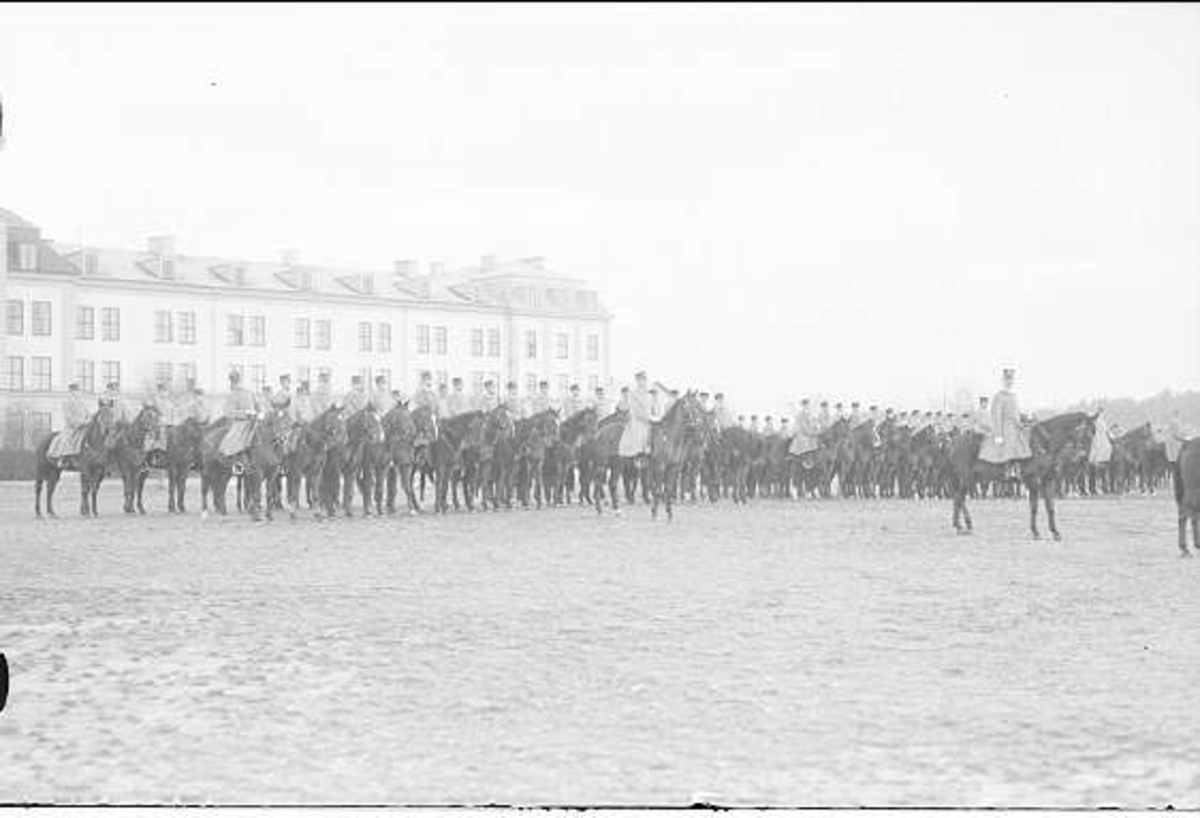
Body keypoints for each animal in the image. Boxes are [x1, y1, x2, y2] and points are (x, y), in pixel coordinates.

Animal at [947, 411, 1096, 540]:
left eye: (1093, 434)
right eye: (1082, 431)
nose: (1083, 458)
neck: (1044, 444)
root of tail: (956, 441)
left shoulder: (1048, 481)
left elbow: (1050, 507)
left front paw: (1055, 532)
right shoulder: (1032, 481)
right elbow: (1034, 507)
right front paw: (1036, 532)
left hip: (970, 478)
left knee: (958, 498)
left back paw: (961, 525)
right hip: (966, 478)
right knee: (959, 498)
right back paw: (963, 525)